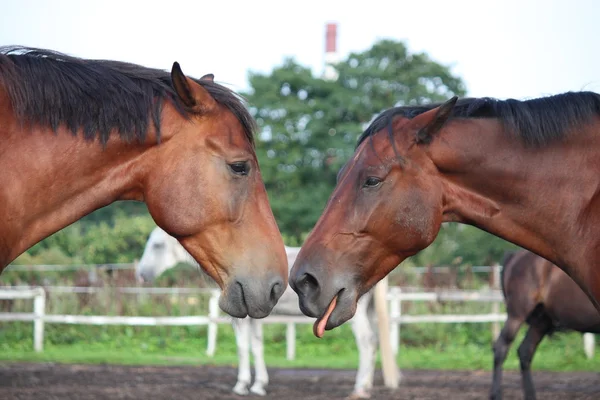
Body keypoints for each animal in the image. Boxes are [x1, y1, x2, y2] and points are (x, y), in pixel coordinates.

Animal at [136, 227, 398, 398]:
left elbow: (243, 348)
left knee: (367, 343)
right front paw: (259, 386)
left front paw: (241, 386)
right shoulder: (254, 316)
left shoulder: (240, 318)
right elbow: (257, 346)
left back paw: (359, 389)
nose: (141, 274)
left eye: (157, 245)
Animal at [490, 250, 596, 400]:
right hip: (517, 315)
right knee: (501, 348)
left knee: (525, 351)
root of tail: (516, 255)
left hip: (541, 322)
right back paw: (496, 394)